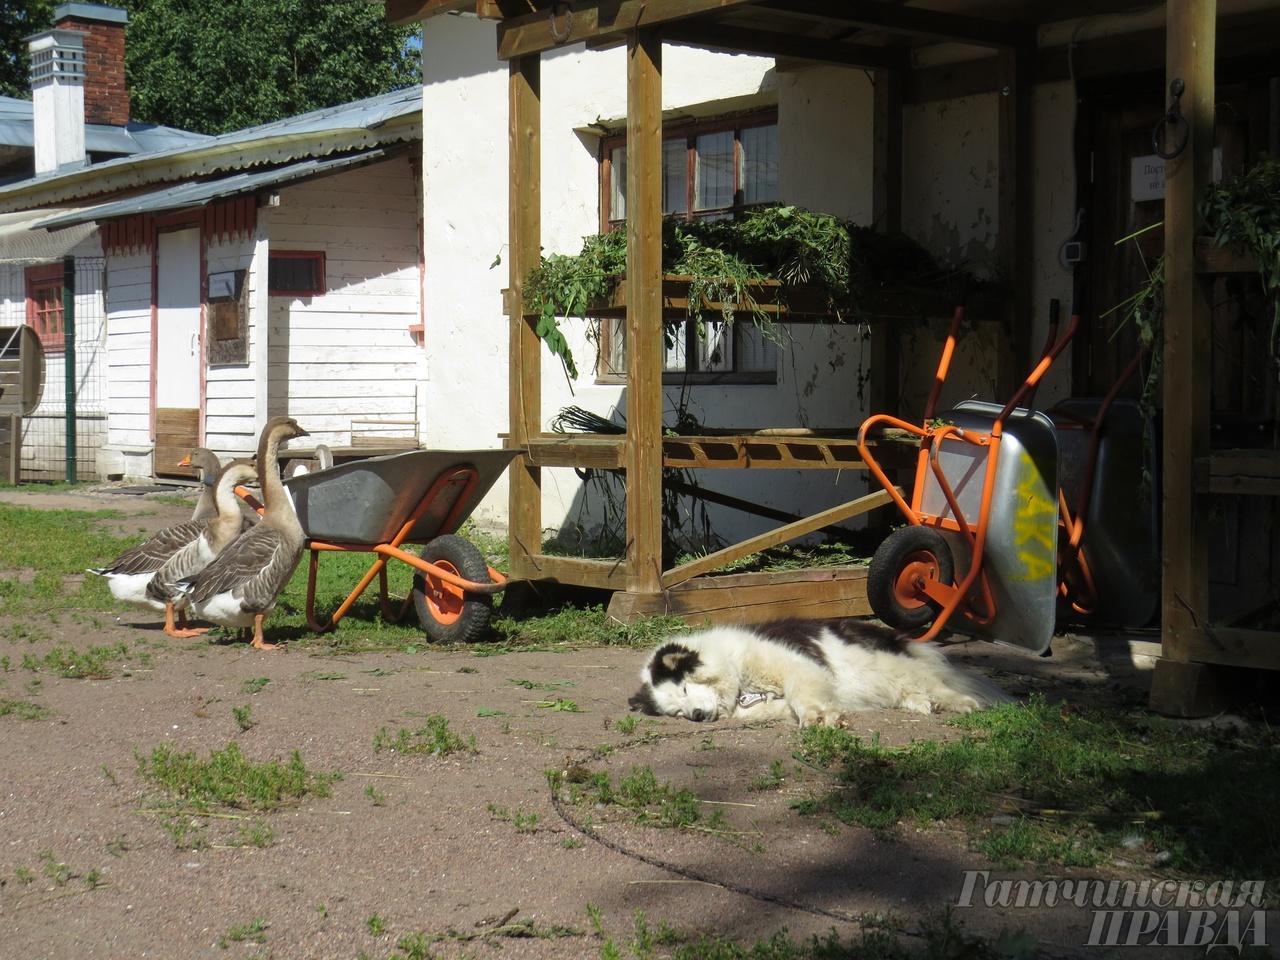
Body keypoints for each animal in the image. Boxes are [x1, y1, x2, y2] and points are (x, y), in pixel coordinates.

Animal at [627, 619, 1008, 727]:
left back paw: (960, 703)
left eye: (684, 689)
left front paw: (819, 717)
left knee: (934, 683)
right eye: (677, 712)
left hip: (883, 664)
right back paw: (920, 704)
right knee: (911, 690)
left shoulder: (797, 665)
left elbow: (803, 694)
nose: (695, 716)